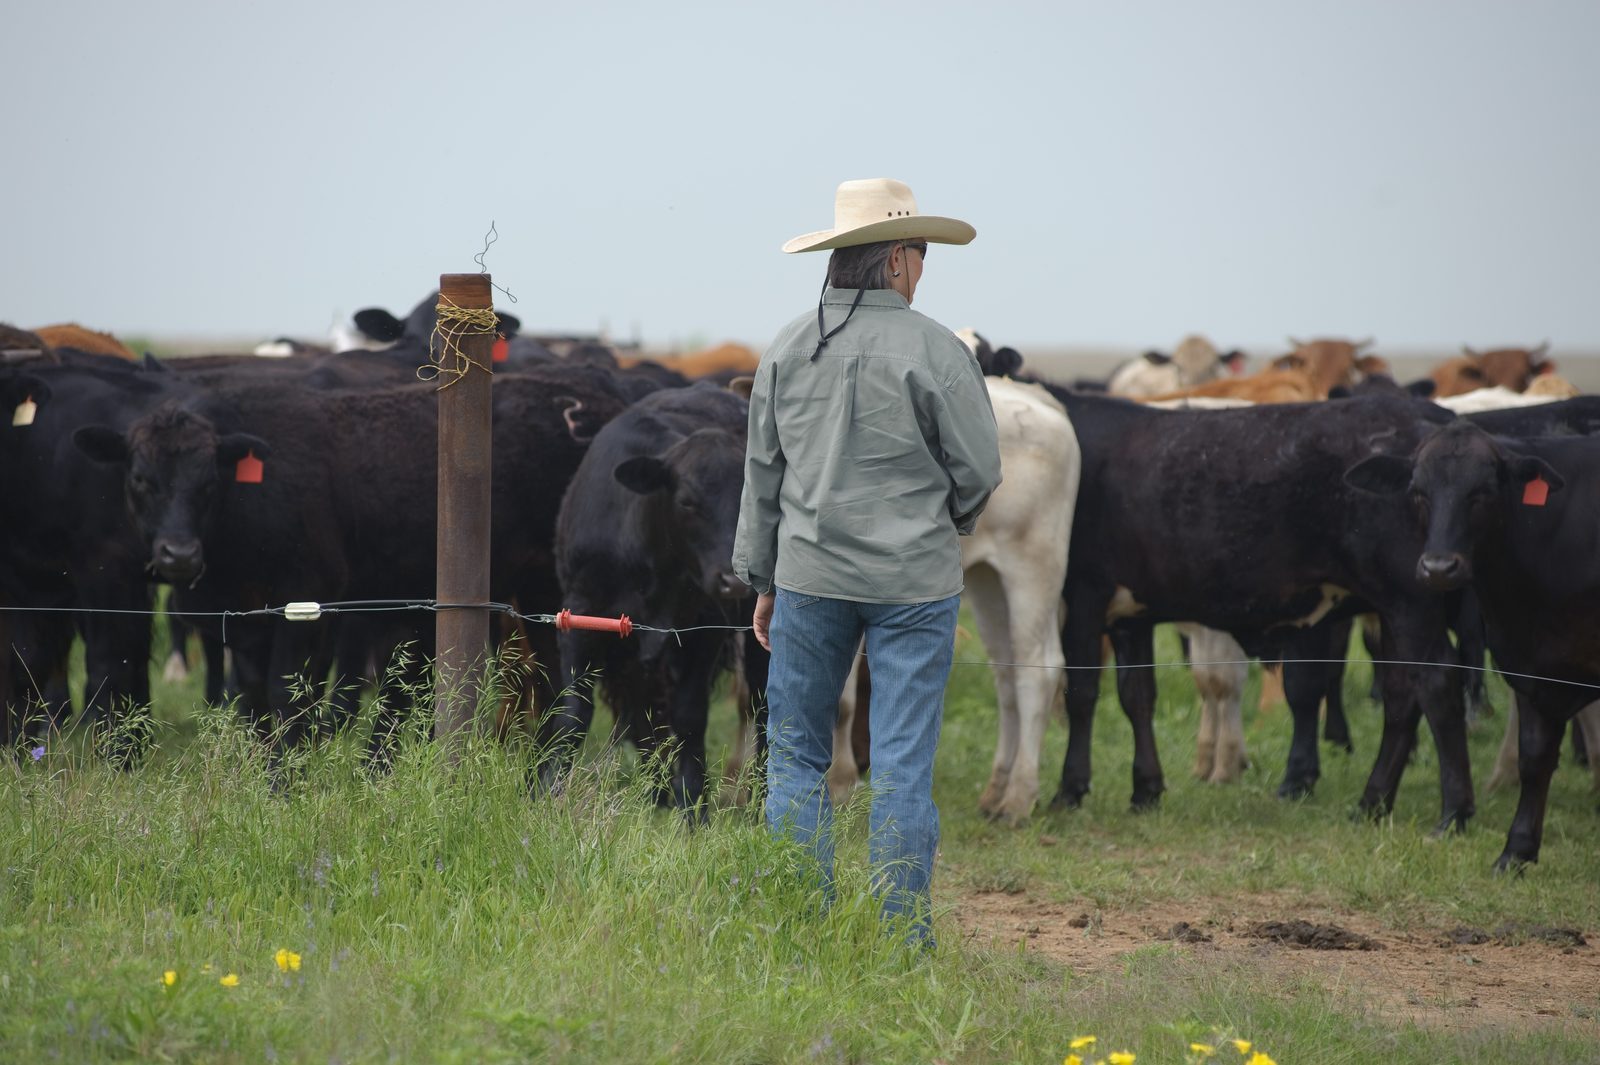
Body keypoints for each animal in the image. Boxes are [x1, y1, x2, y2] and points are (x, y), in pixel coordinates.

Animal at [536, 382, 768, 811]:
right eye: (687, 501)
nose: (735, 580)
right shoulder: (578, 617)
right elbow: (575, 712)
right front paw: (546, 792)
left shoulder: (705, 626)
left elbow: (690, 717)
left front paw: (694, 806)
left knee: (763, 705)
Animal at [1342, 420, 1600, 868]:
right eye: (1418, 491)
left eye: (1483, 491)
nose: (1439, 567)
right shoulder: (1531, 669)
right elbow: (1535, 758)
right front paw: (1516, 852)